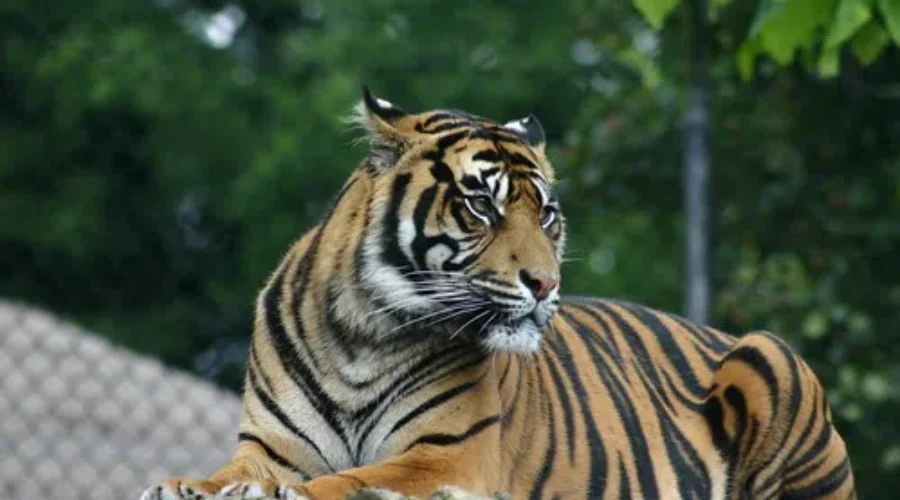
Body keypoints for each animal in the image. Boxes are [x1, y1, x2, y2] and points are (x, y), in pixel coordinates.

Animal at [141, 89, 855, 500]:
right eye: (482, 205)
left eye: (548, 216)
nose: (546, 283)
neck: (362, 333)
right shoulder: (269, 448)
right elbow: (232, 473)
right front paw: (185, 486)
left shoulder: (446, 454)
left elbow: (351, 480)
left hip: (770, 356)